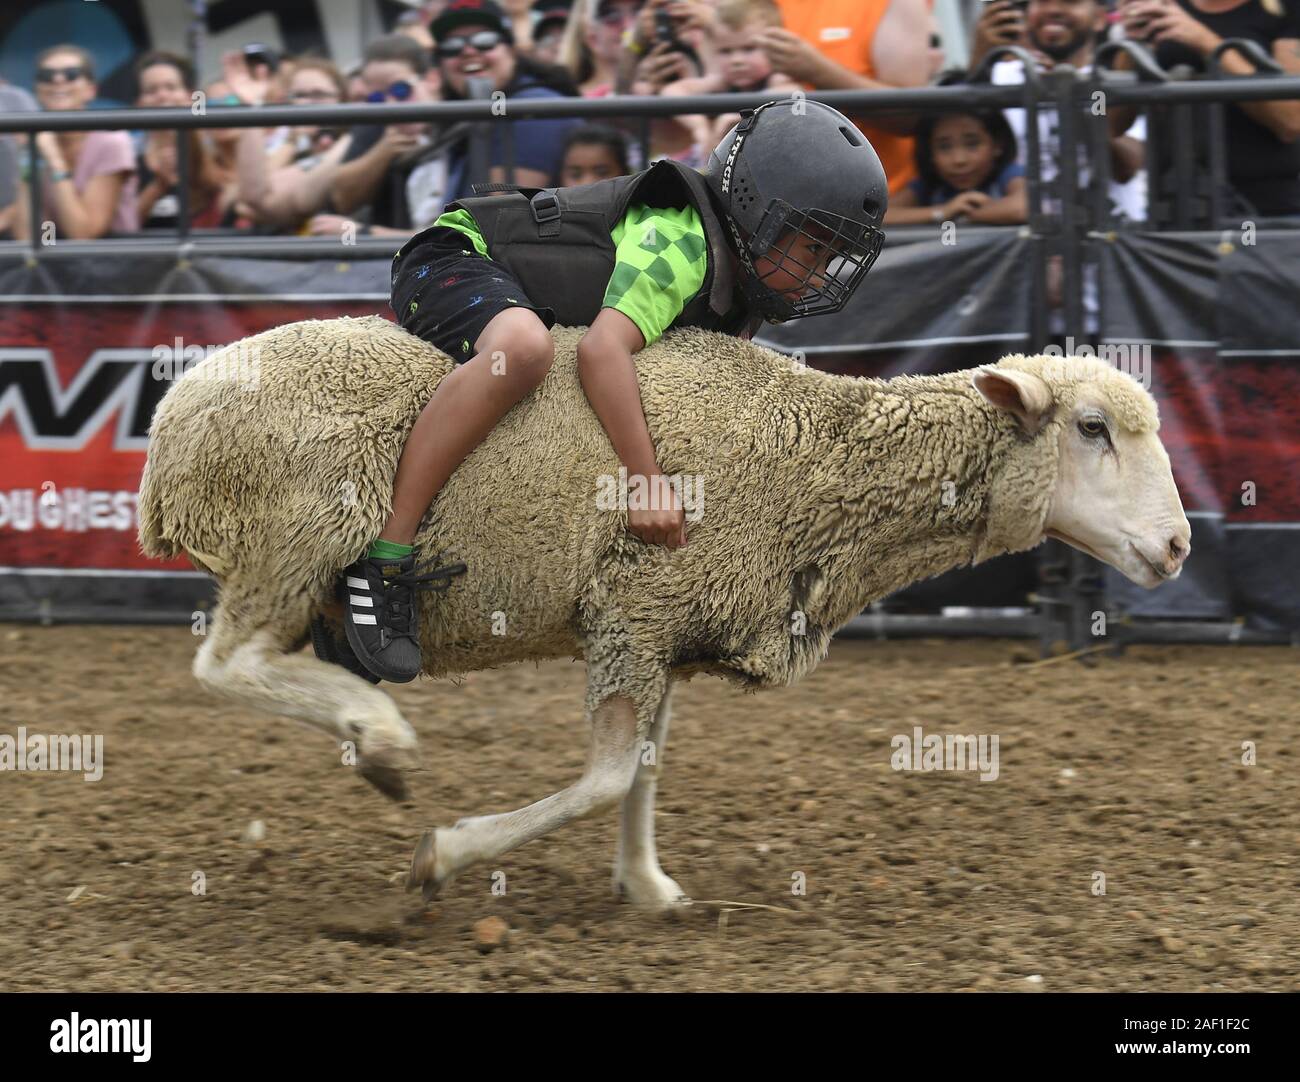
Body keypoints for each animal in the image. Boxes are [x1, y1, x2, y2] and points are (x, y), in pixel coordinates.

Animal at [139, 317, 1190, 910]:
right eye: (1091, 429)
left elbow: (644, 769)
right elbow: (608, 775)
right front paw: (446, 855)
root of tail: (173, 419)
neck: (815, 463)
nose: (1180, 547)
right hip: (301, 531)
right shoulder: (635, 614)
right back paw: (379, 733)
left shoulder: (672, 631)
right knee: (224, 665)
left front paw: (647, 888)